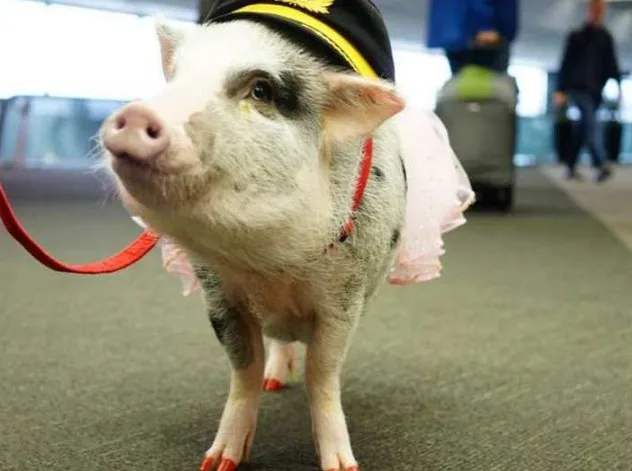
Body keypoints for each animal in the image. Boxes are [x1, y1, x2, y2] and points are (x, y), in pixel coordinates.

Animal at [100, 14, 474, 471]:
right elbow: (243, 370)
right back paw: (274, 382)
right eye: (178, 77)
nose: (136, 114)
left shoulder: (344, 298)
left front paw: (342, 466)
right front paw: (218, 462)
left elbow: (322, 373)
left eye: (261, 89)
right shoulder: (218, 295)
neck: (272, 263)